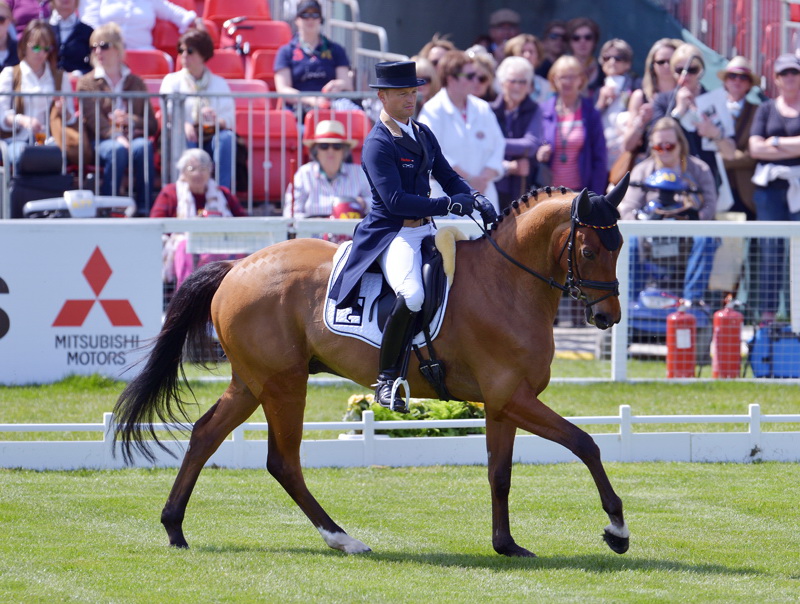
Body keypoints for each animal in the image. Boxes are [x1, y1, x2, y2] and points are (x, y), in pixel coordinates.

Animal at [113, 178, 631, 558]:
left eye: (620, 245)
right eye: (589, 251)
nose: (608, 317)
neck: (508, 283)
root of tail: (237, 266)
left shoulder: (502, 403)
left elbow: (499, 473)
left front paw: (506, 545)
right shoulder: (513, 397)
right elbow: (585, 444)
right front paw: (617, 529)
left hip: (250, 382)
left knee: (205, 435)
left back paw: (174, 528)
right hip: (283, 384)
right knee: (283, 461)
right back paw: (343, 538)